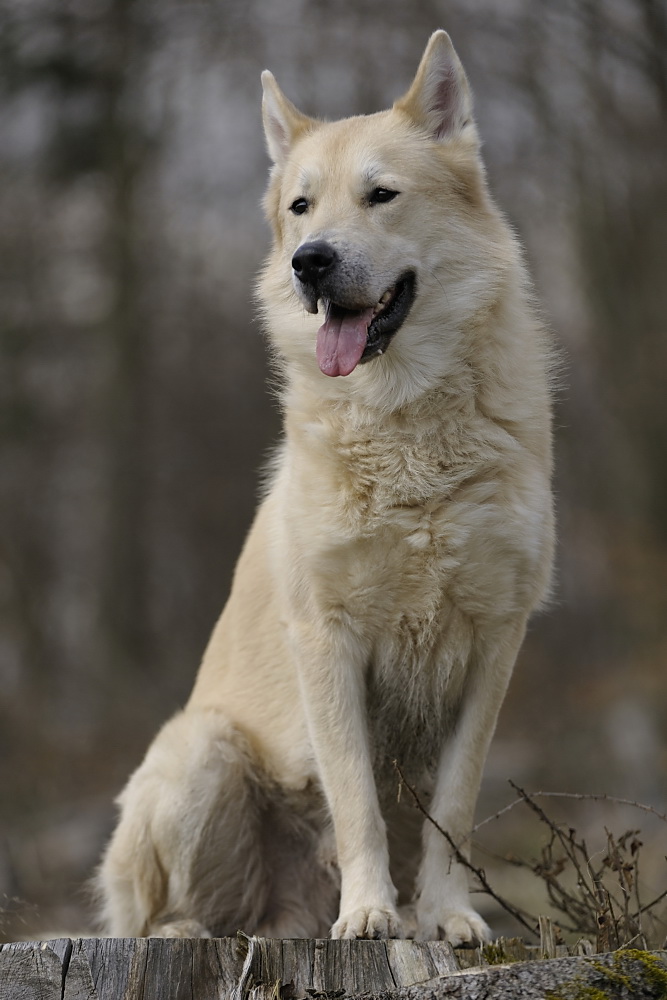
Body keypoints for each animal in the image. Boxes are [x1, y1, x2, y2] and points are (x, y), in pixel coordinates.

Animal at [99, 29, 556, 944]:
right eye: (301, 207)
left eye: (380, 196)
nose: (309, 263)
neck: (406, 421)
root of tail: (287, 921)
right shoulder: (327, 641)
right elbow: (356, 803)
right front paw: (371, 913)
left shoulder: (495, 642)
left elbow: (453, 808)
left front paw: (442, 917)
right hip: (200, 750)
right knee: (168, 914)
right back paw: (198, 931)